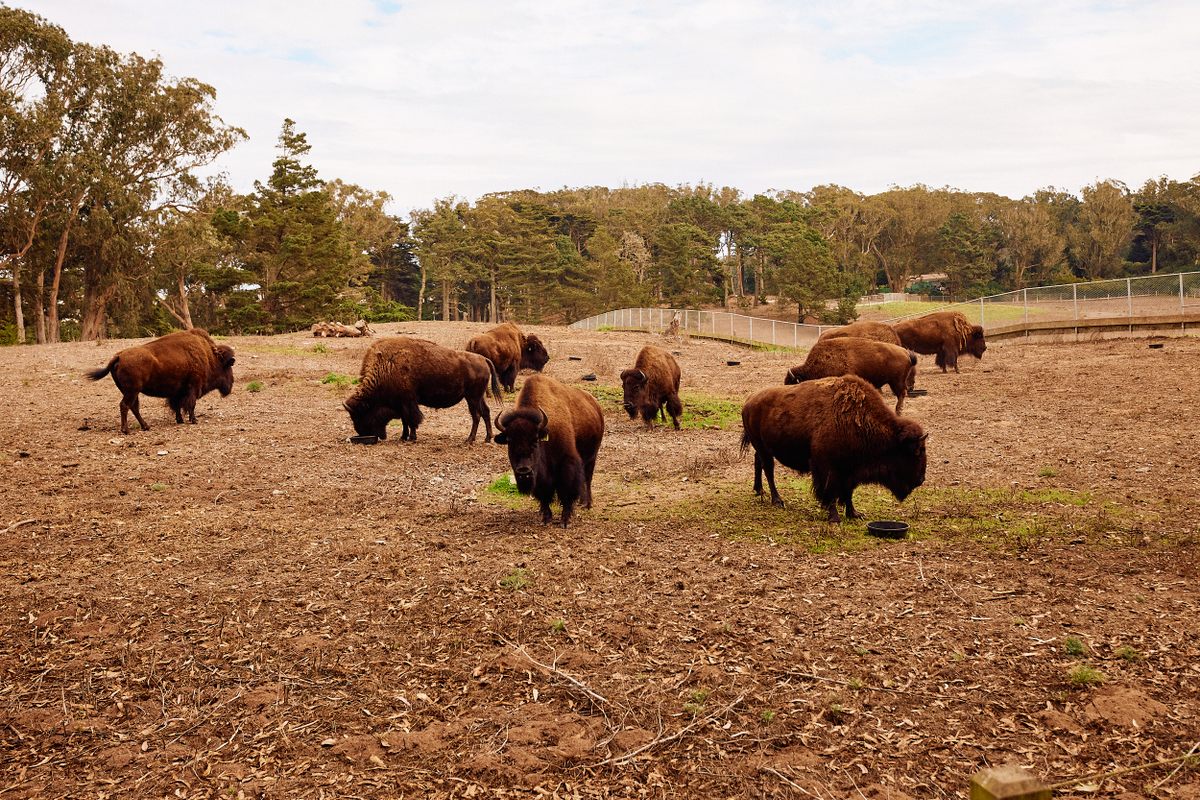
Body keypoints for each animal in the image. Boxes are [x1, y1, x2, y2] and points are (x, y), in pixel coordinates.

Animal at [85, 328, 235, 434]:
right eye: (228, 366)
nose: (231, 384)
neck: (210, 357)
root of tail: (119, 356)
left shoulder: (177, 392)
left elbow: (177, 406)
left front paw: (180, 420)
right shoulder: (193, 387)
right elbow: (190, 404)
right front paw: (194, 420)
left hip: (132, 392)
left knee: (134, 407)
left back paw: (146, 426)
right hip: (132, 391)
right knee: (125, 405)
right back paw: (126, 430)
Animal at [343, 335, 501, 443]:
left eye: (359, 414)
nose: (362, 433)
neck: (387, 365)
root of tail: (483, 359)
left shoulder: (408, 401)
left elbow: (411, 419)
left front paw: (412, 437)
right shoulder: (401, 403)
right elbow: (405, 421)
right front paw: (403, 437)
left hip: (472, 398)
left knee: (476, 415)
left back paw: (469, 439)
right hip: (478, 397)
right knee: (485, 412)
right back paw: (487, 438)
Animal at [489, 379, 600, 527]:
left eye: (535, 440)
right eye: (510, 441)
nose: (524, 471)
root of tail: (595, 404)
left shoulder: (566, 462)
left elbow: (567, 490)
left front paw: (565, 520)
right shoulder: (540, 475)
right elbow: (544, 493)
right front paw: (546, 518)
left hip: (592, 457)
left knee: (587, 479)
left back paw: (587, 504)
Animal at [739, 376, 926, 525]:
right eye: (916, 452)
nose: (921, 480)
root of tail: (749, 400)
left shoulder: (850, 470)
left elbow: (848, 492)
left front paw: (855, 514)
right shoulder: (828, 468)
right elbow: (831, 492)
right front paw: (834, 518)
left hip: (762, 448)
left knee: (758, 463)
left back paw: (759, 490)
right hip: (763, 448)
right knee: (769, 471)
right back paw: (777, 500)